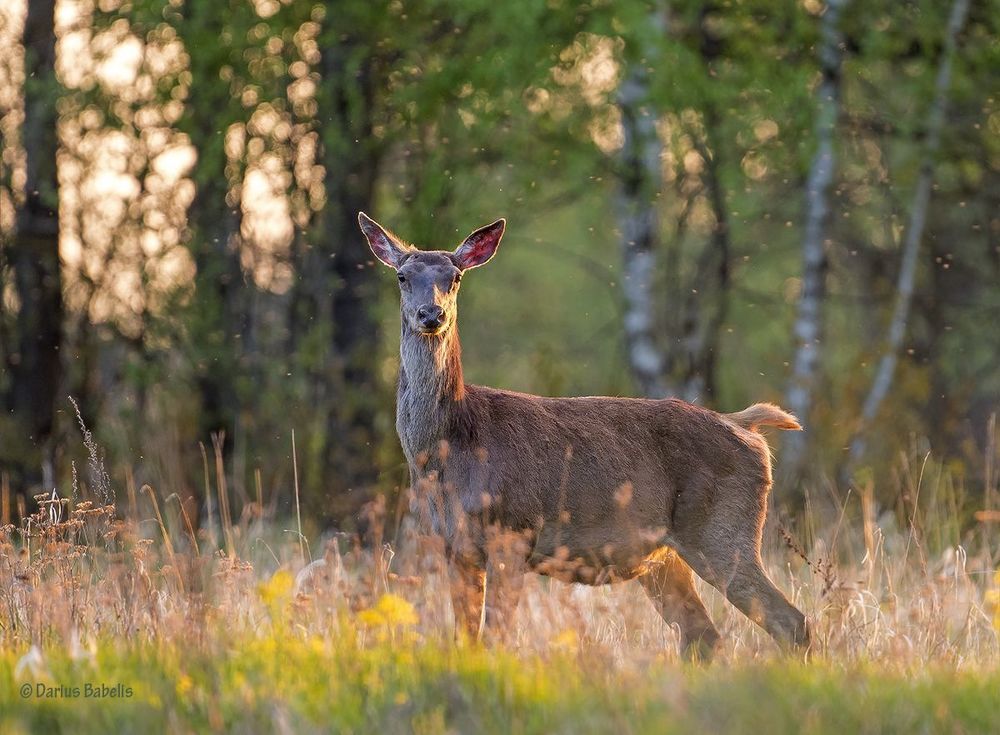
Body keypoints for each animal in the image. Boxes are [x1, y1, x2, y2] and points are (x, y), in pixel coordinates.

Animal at [358, 212, 810, 660]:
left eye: (454, 277)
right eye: (402, 276)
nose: (431, 315)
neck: (452, 447)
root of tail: (747, 427)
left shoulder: (514, 532)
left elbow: (496, 637)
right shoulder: (454, 547)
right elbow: (466, 640)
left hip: (722, 529)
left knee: (789, 621)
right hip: (665, 555)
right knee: (703, 635)